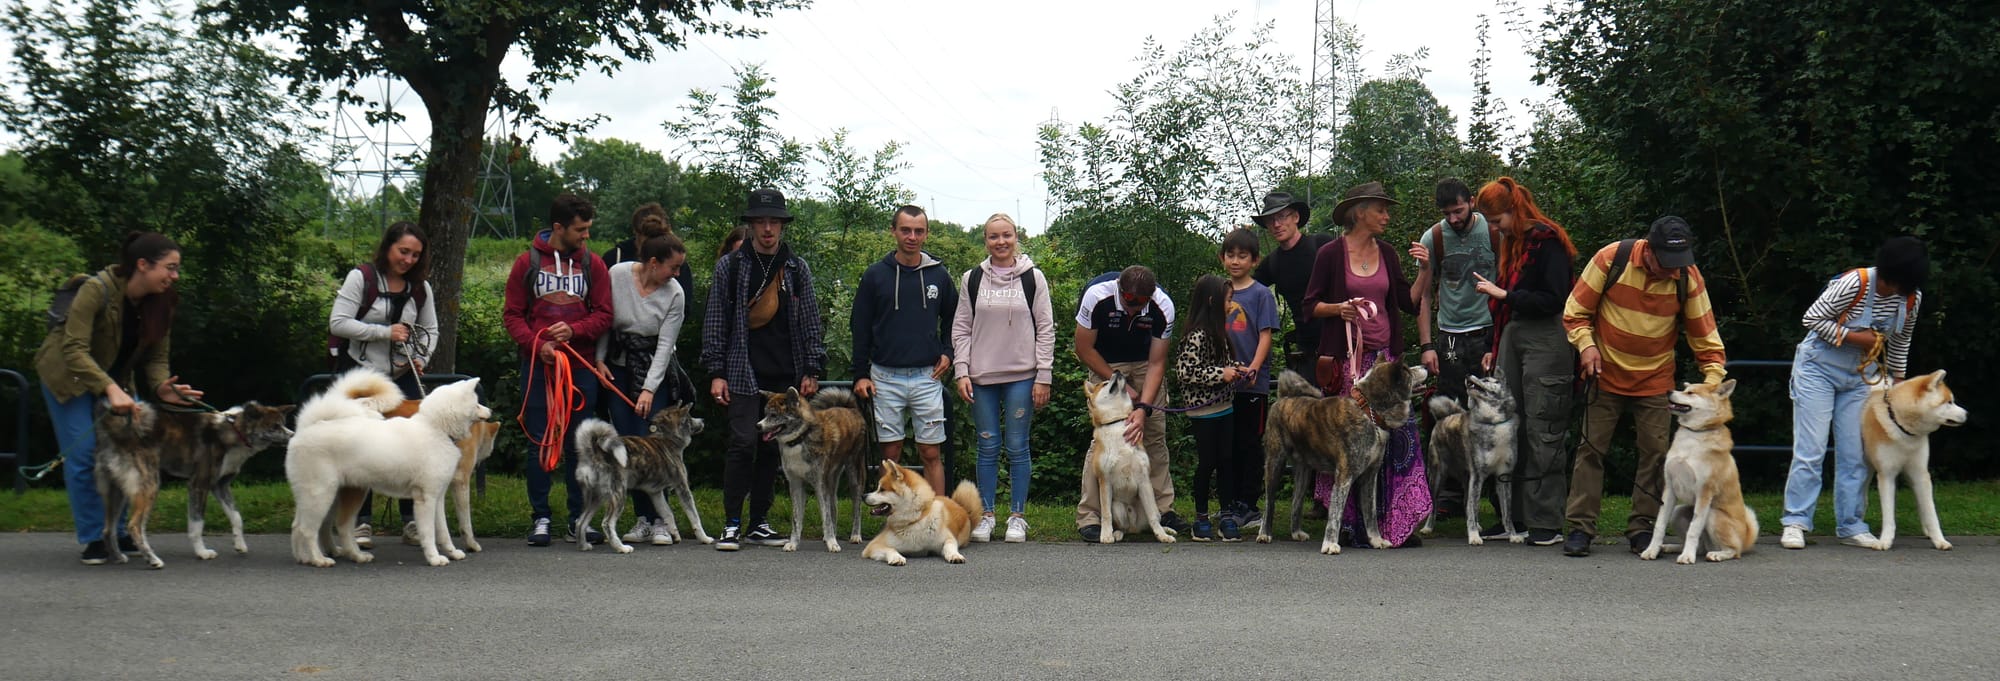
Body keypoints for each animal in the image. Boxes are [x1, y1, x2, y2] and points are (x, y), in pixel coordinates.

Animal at [288, 370, 490, 564]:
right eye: (477, 404)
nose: (490, 411)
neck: (437, 429)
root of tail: (307, 428)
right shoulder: (426, 499)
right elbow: (429, 533)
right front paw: (434, 558)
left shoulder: (437, 497)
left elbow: (443, 532)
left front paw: (452, 553)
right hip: (321, 494)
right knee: (308, 529)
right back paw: (318, 559)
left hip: (336, 495)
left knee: (309, 526)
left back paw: (311, 557)